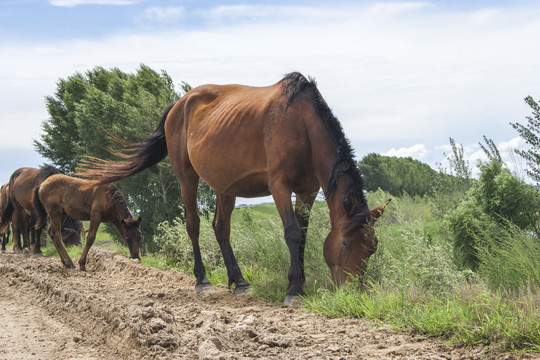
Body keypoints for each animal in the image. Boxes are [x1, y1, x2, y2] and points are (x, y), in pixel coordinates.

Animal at [77, 71, 388, 306]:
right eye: (345, 244)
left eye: (371, 248)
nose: (353, 292)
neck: (302, 124)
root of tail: (179, 103)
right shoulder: (279, 186)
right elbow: (292, 233)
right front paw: (294, 291)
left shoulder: (308, 190)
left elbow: (303, 233)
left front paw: (298, 284)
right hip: (186, 177)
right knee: (194, 225)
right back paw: (202, 280)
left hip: (224, 186)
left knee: (221, 228)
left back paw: (238, 281)